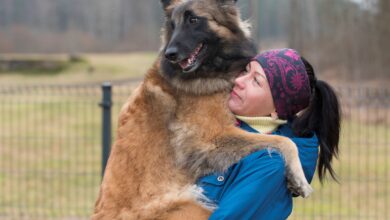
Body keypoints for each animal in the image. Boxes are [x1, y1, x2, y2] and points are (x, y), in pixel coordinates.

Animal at [93, 0, 312, 219]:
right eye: (173, 25)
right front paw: (300, 179)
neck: (208, 70)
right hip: (192, 206)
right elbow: (284, 141)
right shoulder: (210, 139)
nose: (170, 54)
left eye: (193, 19)